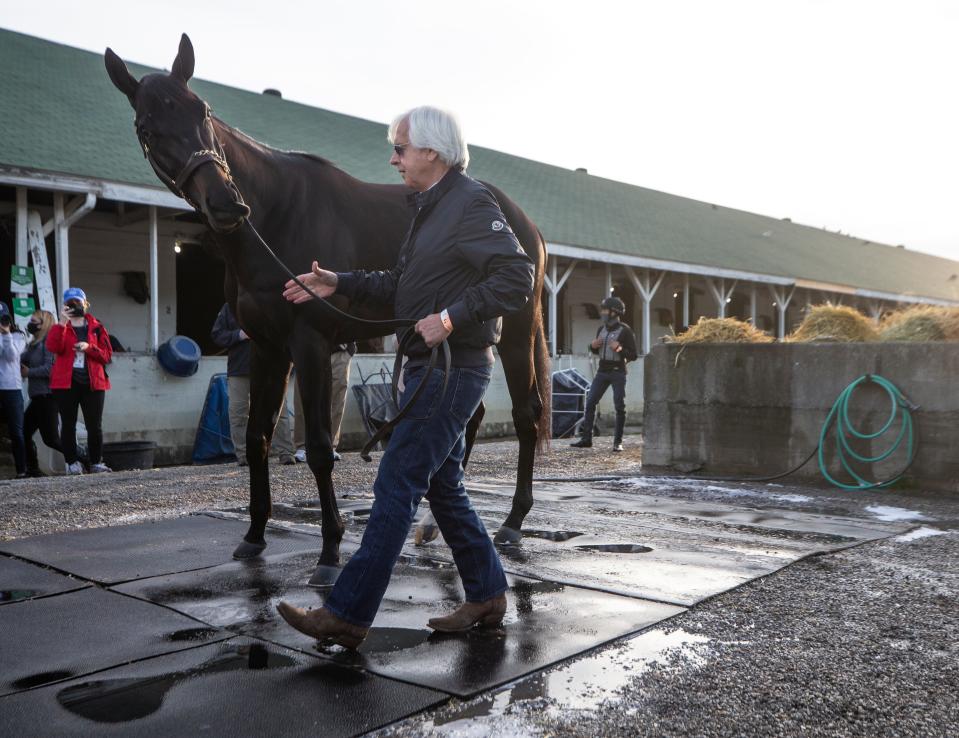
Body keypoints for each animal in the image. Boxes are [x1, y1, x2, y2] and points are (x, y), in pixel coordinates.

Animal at [105, 36, 552, 580]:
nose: (227, 205)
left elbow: (320, 447)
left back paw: (512, 522)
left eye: (202, 111)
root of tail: (523, 220)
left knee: (527, 414)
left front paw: (331, 549)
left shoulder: (310, 344)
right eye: (147, 129)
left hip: (517, 331)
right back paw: (429, 524)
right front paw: (254, 535)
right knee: (469, 417)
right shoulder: (268, 349)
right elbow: (255, 437)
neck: (276, 216)